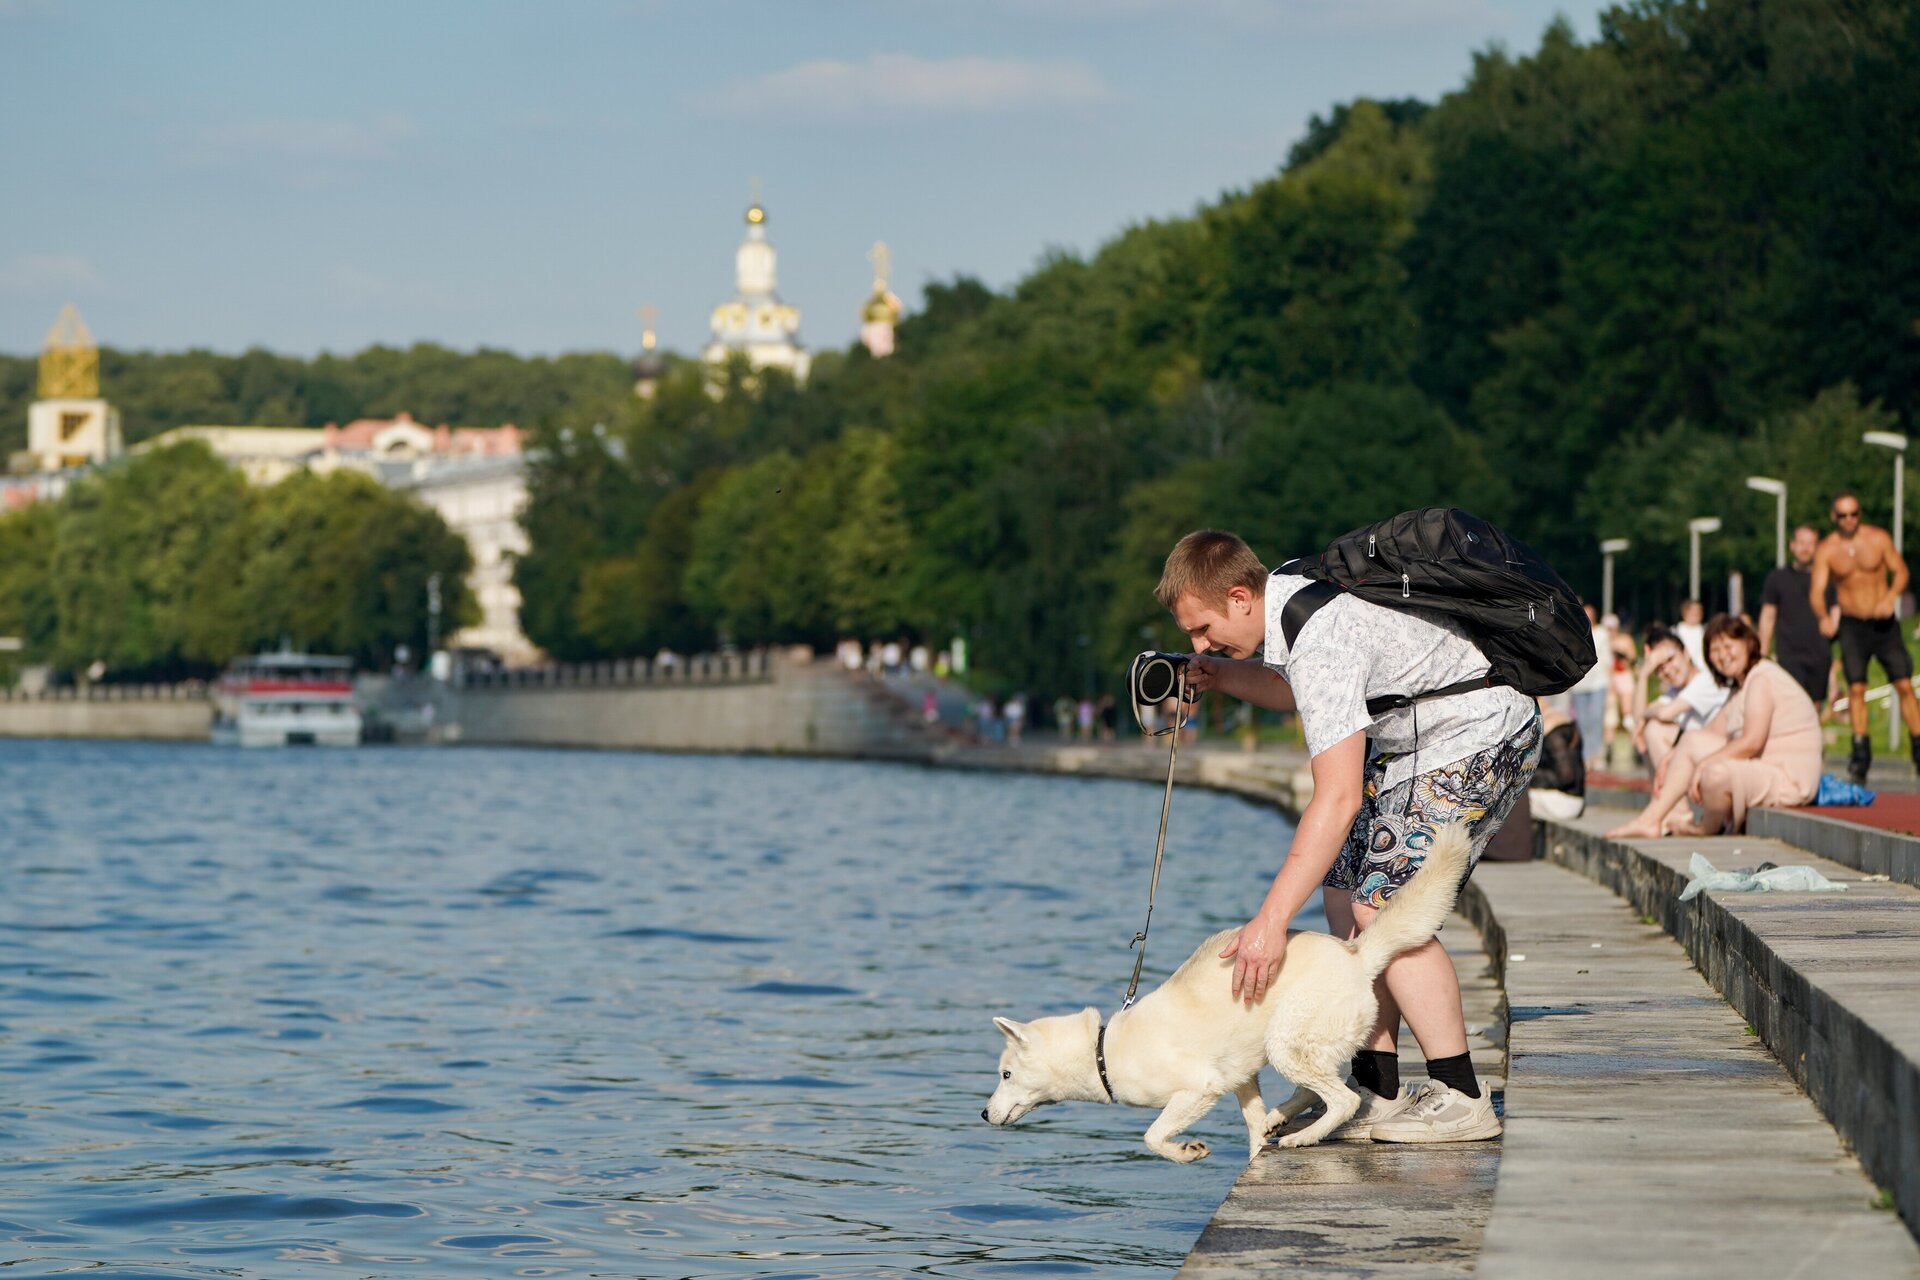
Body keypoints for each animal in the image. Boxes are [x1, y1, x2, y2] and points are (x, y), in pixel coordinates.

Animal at [983, 825, 1474, 1166]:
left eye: (1005, 1074)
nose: (984, 1115)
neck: (1102, 1052)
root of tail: (1357, 954)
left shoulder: (1201, 1088)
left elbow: (1152, 1135)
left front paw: (1187, 1151)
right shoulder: (1241, 1078)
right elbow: (1252, 1125)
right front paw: (1257, 1149)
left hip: (1287, 1040)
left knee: (1345, 1099)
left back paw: (1302, 1135)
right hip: (1297, 1045)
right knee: (1317, 1087)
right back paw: (1283, 1117)